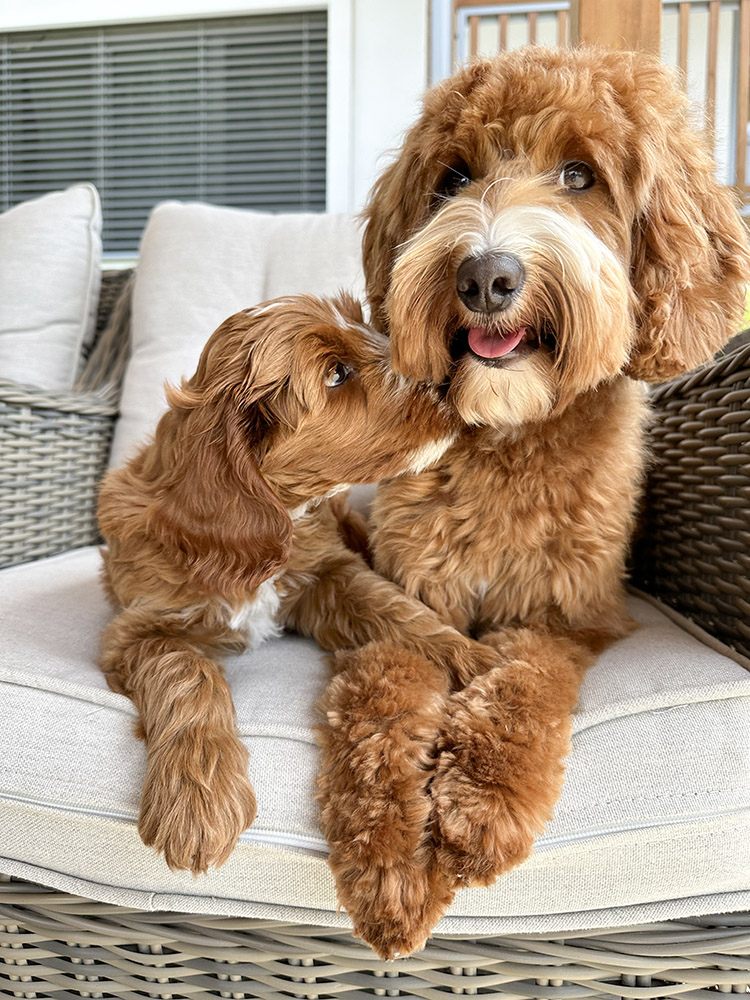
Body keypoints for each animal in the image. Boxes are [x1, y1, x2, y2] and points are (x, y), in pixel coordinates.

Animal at [97, 292, 506, 876]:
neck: (281, 516)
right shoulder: (137, 628)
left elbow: (396, 608)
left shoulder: (330, 571)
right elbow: (186, 670)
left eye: (365, 323)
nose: (452, 369)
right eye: (336, 373)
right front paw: (198, 799)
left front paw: (481, 663)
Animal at [322, 45, 750, 952]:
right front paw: (389, 861)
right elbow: (382, 707)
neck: (511, 439)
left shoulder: (566, 614)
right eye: (453, 179)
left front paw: (479, 806)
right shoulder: (413, 602)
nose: (485, 275)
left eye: (579, 175)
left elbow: (523, 683)